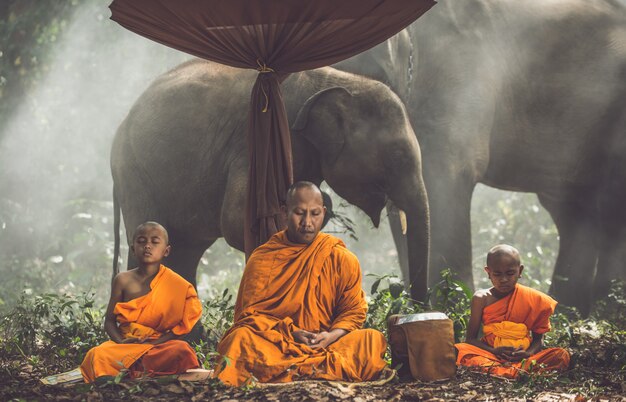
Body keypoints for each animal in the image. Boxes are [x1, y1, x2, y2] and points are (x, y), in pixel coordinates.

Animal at [111, 61, 428, 302]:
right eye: (396, 156)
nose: (415, 309)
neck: (334, 79)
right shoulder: (254, 145)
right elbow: (237, 221)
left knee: (186, 249)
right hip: (134, 172)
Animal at [334, 0, 624, 314]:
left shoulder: (458, 84)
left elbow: (444, 188)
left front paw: (455, 311)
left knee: (609, 207)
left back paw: (604, 308)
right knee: (573, 210)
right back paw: (569, 311)